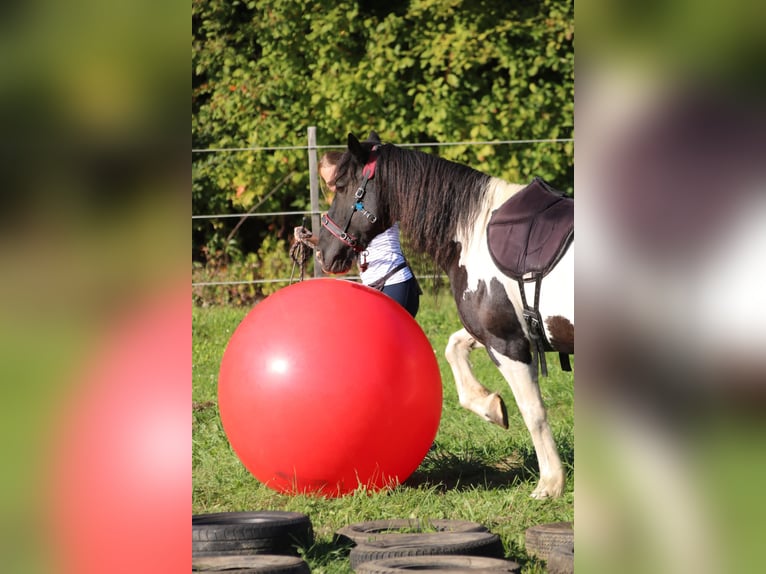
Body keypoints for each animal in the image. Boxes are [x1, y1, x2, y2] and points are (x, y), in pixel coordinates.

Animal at [316, 132, 574, 499]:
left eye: (340, 186)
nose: (323, 252)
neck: (475, 233)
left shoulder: (507, 343)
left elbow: (533, 412)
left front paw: (550, 485)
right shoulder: (498, 334)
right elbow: (453, 347)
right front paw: (490, 406)